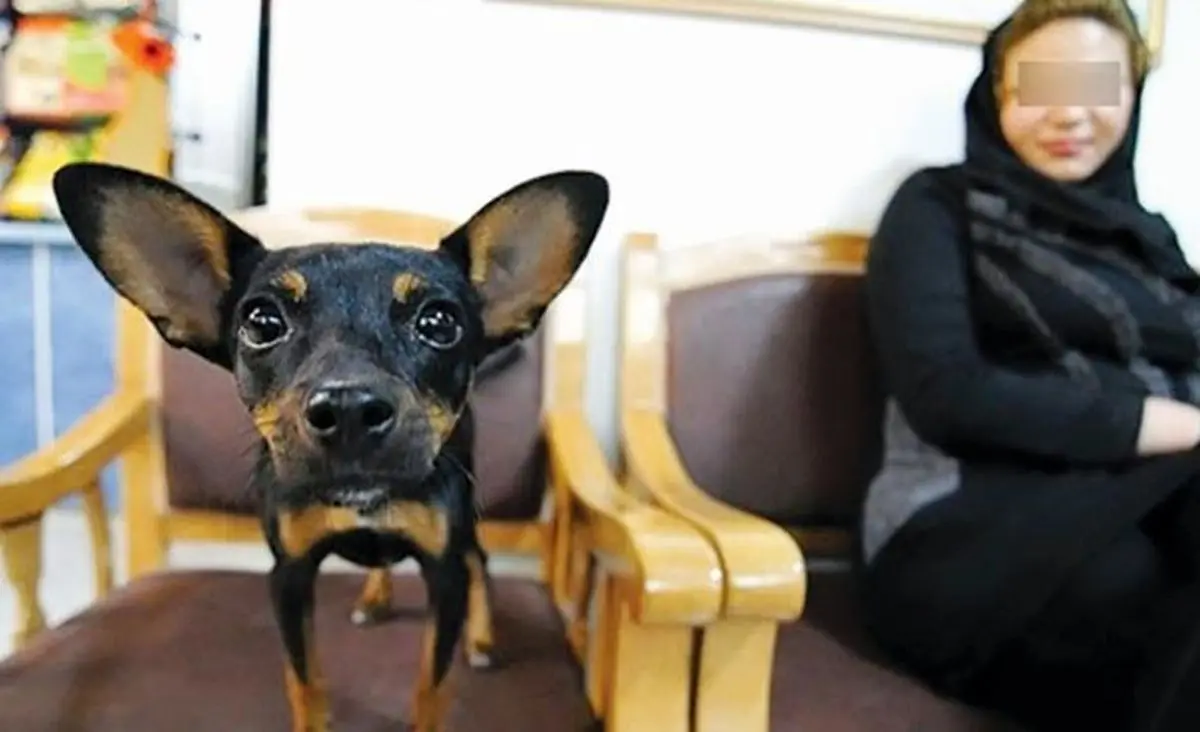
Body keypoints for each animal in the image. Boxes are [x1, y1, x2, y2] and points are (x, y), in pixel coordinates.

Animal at [51, 161, 609, 731]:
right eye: (261, 322)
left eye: (439, 322)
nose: (348, 410)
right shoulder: (289, 576)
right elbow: (305, 680)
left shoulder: (443, 571)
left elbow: (432, 684)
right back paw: (376, 596)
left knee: (480, 563)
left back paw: (480, 638)